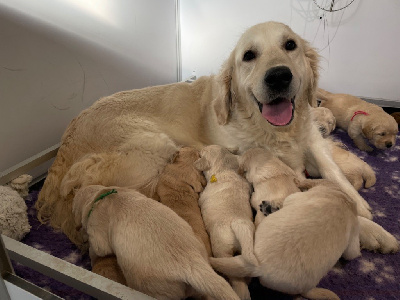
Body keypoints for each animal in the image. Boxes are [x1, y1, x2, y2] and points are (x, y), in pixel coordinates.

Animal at [36, 20, 396, 253]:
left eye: (290, 45)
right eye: (249, 55)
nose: (279, 76)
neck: (274, 129)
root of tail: (65, 141)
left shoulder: (311, 139)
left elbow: (334, 173)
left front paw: (360, 203)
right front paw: (372, 229)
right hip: (153, 149)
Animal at [73, 185, 239, 300]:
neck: (101, 195)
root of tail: (193, 263)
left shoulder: (97, 231)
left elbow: (97, 249)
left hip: (152, 287)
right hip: (199, 283)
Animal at [195, 144, 256, 298]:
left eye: (203, 151)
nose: (199, 149)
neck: (225, 168)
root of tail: (238, 222)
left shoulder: (203, 197)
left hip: (221, 248)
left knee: (237, 281)